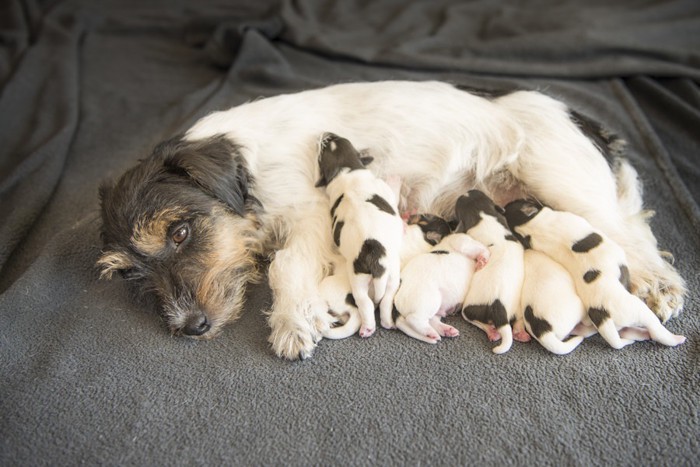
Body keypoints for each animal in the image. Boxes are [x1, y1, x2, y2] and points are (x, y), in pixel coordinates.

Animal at [316, 133, 402, 338]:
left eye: (334, 140)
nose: (326, 133)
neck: (344, 170)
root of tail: (374, 251)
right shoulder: (385, 189)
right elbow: (394, 194)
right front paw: (396, 180)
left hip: (369, 276)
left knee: (374, 302)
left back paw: (376, 324)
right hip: (381, 274)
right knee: (378, 302)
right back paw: (375, 326)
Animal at [454, 190, 532, 354]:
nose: (467, 191)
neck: (483, 216)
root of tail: (498, 307)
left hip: (468, 309)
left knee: (476, 321)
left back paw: (492, 332)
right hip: (517, 306)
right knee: (518, 321)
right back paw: (520, 333)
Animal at [506, 199, 688, 350]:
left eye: (514, 203)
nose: (506, 203)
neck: (532, 227)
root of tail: (602, 314)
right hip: (638, 310)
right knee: (655, 329)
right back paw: (675, 338)